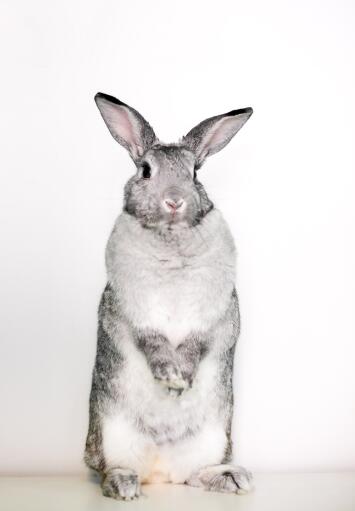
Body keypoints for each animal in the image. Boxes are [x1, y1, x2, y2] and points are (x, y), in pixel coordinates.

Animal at [85, 92, 254, 500]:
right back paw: (125, 486)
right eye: (146, 170)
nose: (174, 200)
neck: (172, 238)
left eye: (194, 173)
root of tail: (159, 474)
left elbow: (194, 343)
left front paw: (182, 378)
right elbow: (154, 342)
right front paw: (171, 378)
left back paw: (232, 478)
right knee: (108, 470)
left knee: (193, 476)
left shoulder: (210, 314)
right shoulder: (136, 310)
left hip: (213, 438)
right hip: (110, 434)